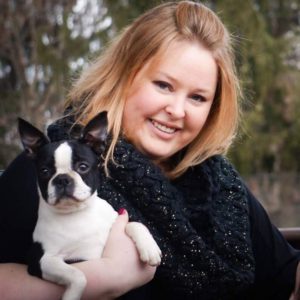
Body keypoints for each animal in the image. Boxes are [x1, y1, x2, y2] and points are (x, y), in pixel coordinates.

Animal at [18, 112, 162, 300]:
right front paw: (71, 297)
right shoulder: (41, 260)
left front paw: (149, 247)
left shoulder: (115, 220)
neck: (77, 213)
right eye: (44, 171)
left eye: (83, 167)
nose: (62, 179)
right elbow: (78, 275)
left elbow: (135, 224)